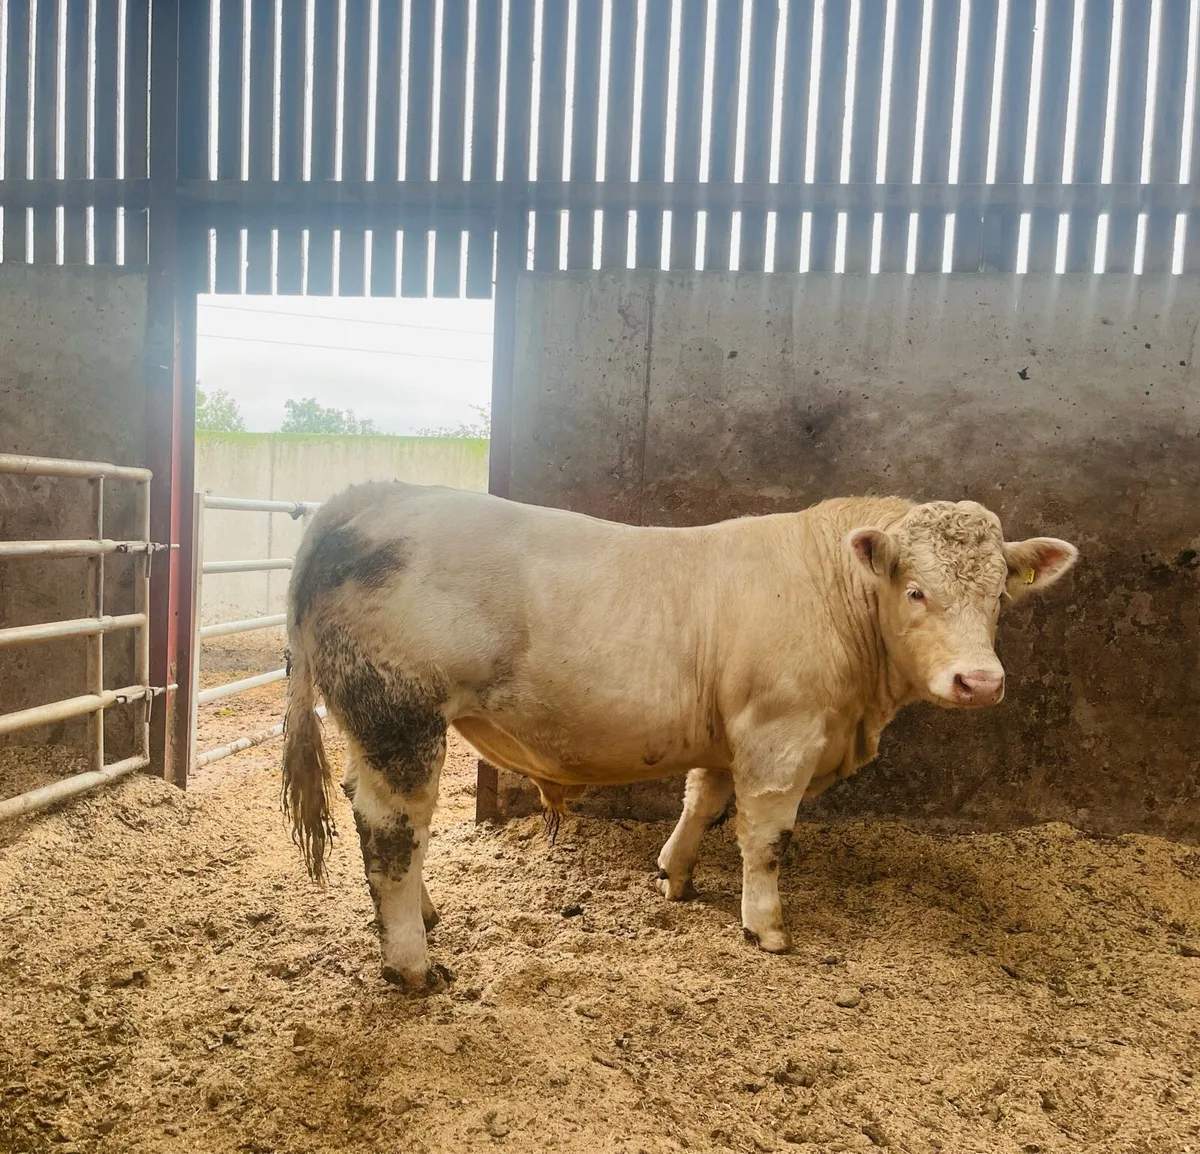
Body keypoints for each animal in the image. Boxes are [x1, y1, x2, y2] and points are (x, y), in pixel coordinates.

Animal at [281, 482, 1078, 991]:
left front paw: (676, 876)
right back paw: (412, 963)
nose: (980, 681)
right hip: (399, 715)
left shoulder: (733, 734)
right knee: (392, 829)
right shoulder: (780, 734)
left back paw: (423, 915)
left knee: (372, 810)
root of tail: (368, 495)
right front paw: (766, 926)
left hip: (373, 725)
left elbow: (704, 801)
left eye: (998, 594)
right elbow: (767, 836)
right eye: (915, 591)